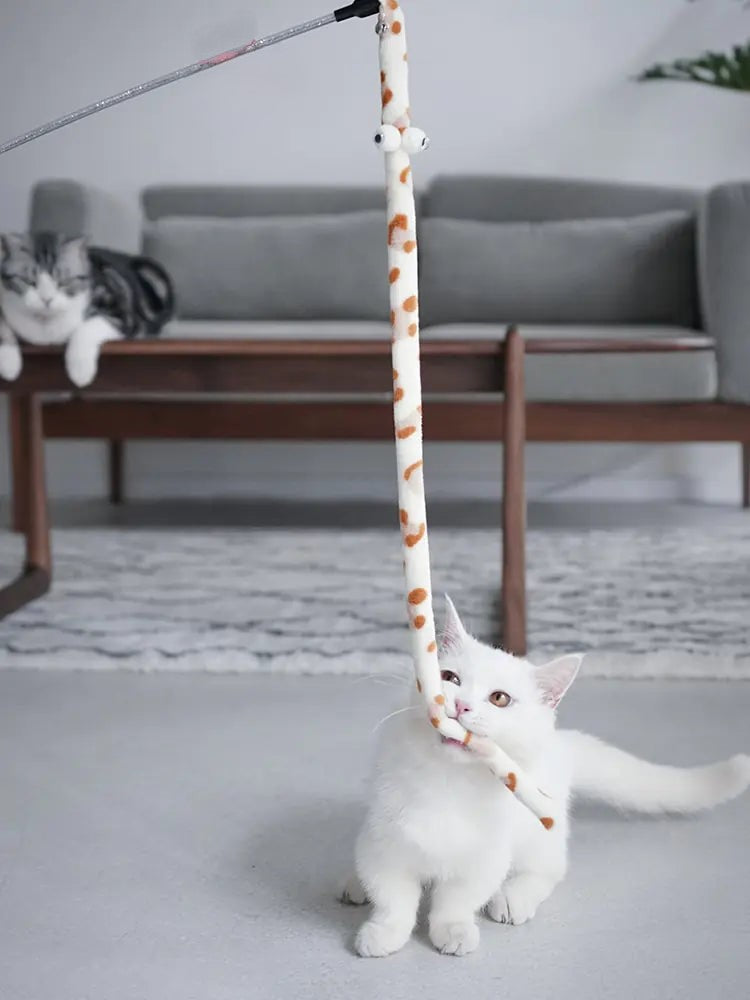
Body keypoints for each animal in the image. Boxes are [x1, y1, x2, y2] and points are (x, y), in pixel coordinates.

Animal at [346, 596, 750, 956]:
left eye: (500, 699)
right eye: (449, 677)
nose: (460, 705)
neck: (448, 781)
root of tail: (562, 744)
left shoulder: (485, 857)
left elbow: (457, 899)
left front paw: (454, 929)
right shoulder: (383, 844)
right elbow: (393, 897)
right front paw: (384, 932)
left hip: (541, 835)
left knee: (551, 869)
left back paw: (513, 897)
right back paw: (354, 885)